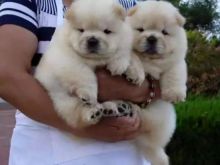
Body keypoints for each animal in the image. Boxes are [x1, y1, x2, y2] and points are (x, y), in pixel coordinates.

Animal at [34, 0, 143, 129]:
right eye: (81, 30)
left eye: (107, 31)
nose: (92, 40)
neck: (95, 59)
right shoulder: (67, 60)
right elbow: (84, 74)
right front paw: (89, 94)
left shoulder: (125, 40)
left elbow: (128, 53)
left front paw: (128, 70)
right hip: (63, 98)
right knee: (78, 115)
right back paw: (94, 112)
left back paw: (115, 107)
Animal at [126, 0, 188, 164]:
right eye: (141, 29)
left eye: (164, 32)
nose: (152, 38)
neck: (150, 61)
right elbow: (132, 56)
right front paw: (136, 74)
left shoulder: (177, 61)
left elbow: (174, 73)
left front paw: (174, 94)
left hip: (161, 114)